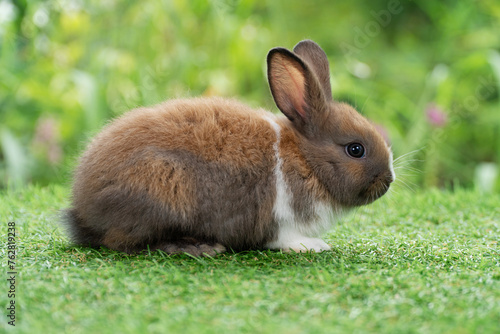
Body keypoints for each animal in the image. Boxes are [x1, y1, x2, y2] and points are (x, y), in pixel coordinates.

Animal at [63, 40, 394, 258]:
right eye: (355, 150)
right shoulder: (281, 218)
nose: (388, 180)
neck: (305, 159)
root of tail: (83, 210)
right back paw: (196, 247)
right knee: (125, 243)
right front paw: (313, 246)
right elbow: (284, 237)